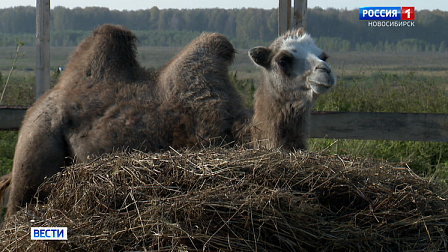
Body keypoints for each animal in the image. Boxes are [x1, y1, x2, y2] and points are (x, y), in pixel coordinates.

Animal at [0, 24, 334, 216]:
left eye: (323, 54)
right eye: (283, 59)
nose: (326, 73)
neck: (241, 132)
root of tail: (38, 104)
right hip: (34, 149)